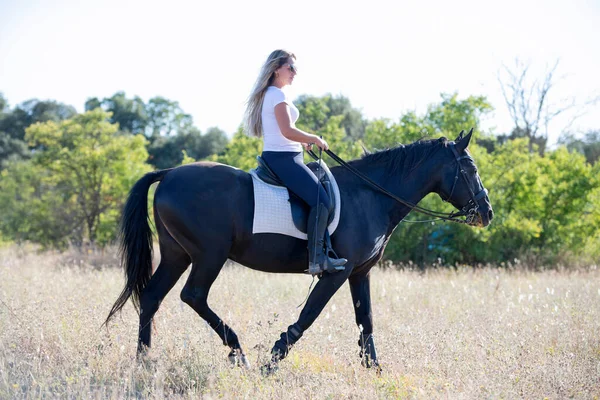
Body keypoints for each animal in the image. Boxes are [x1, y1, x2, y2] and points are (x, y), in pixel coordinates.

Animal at [105, 131, 494, 372]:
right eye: (470, 168)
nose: (486, 212)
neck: (370, 196)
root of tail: (169, 174)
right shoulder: (337, 272)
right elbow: (308, 317)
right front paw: (272, 362)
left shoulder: (360, 273)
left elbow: (366, 320)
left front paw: (375, 369)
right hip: (209, 255)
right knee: (194, 295)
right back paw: (239, 352)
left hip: (177, 255)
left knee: (152, 297)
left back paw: (144, 362)